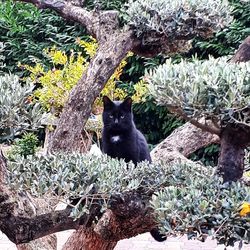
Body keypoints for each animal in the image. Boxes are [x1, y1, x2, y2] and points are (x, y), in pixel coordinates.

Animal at [101, 95, 166, 242]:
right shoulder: (109, 156)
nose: (116, 122)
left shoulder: (131, 158)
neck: (117, 136)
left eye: (122, 116)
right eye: (111, 115)